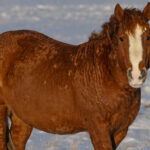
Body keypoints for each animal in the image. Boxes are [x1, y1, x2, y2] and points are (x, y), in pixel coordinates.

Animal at [0, 2, 150, 150]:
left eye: (148, 37)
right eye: (121, 38)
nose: (137, 75)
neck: (103, 73)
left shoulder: (120, 131)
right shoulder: (99, 130)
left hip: (22, 118)